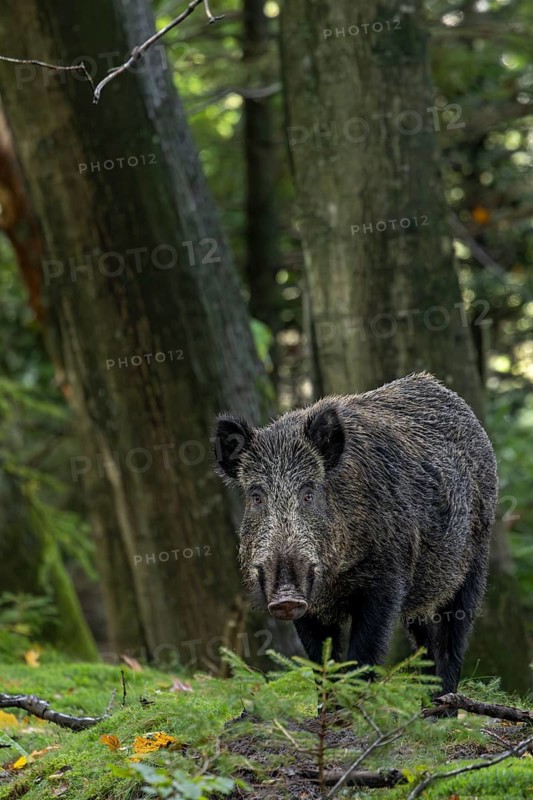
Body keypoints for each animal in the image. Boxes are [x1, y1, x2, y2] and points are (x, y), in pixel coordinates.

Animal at [213, 372, 498, 694]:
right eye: (256, 496)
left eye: (309, 493)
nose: (286, 597)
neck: (336, 578)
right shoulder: (311, 608)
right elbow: (323, 663)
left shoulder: (388, 580)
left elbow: (362, 656)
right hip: (424, 590)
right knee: (426, 641)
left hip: (475, 558)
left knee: (453, 635)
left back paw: (445, 703)